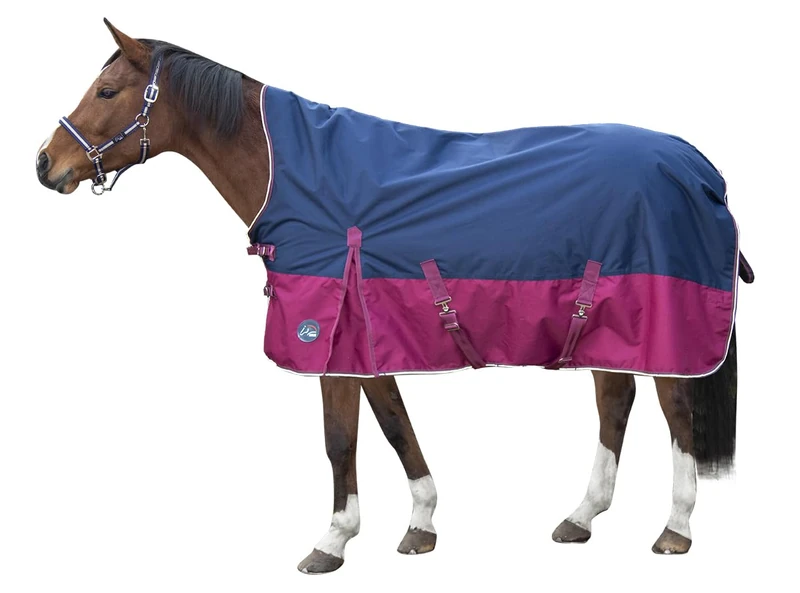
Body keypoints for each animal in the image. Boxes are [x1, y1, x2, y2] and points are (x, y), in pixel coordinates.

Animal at [35, 20, 753, 573]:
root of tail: (695, 165)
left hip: (663, 321)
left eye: (106, 90)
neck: (297, 176)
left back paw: (675, 531)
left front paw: (330, 542)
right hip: (604, 318)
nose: (45, 164)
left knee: (676, 411)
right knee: (615, 401)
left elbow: (339, 439)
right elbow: (391, 423)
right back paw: (580, 517)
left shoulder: (328, 341)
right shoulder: (362, 338)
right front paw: (420, 525)